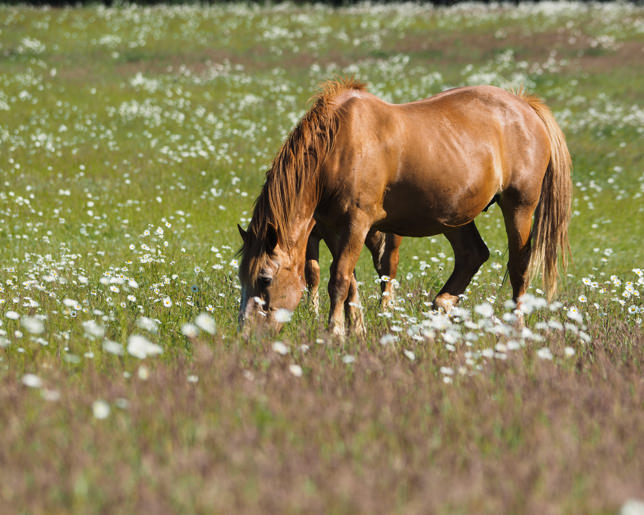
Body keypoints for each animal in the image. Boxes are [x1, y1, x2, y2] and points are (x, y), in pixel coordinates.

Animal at [238, 79, 571, 337]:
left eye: (265, 279)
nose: (246, 335)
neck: (339, 147)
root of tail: (524, 106)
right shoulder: (333, 229)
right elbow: (350, 282)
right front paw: (357, 331)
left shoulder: (357, 223)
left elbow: (339, 279)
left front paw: (334, 332)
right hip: (455, 217)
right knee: (472, 255)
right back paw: (440, 309)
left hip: (520, 206)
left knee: (519, 268)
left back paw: (516, 328)